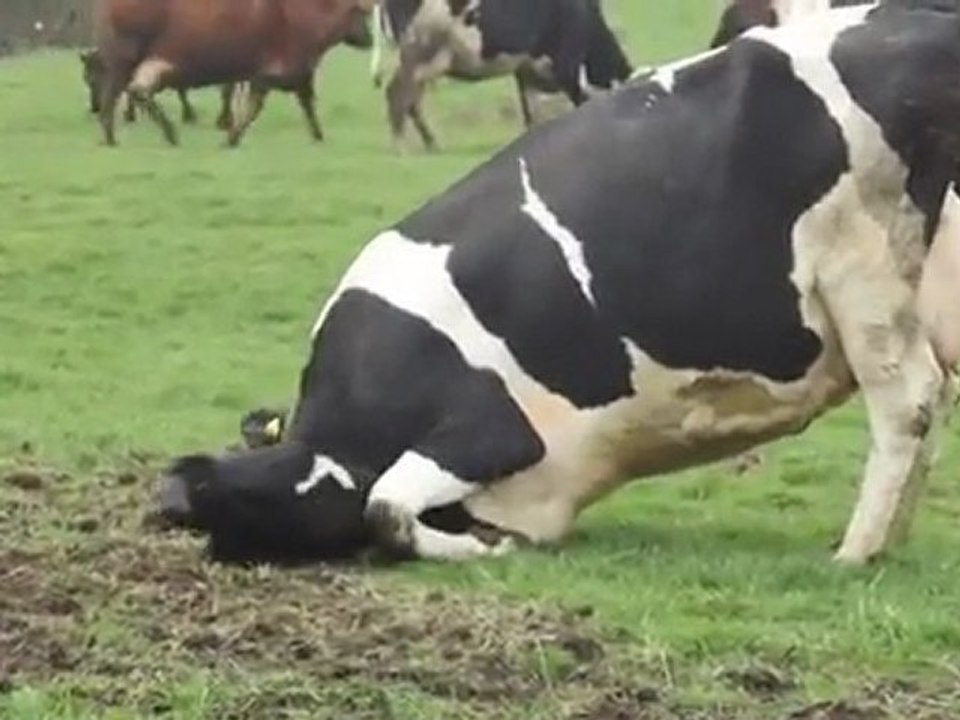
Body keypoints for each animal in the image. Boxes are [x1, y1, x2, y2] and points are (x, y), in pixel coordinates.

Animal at [91, 0, 374, 147]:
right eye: (361, 14)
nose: (370, 40)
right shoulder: (288, 71)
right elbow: (292, 105)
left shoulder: (270, 75)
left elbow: (267, 105)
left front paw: (232, 135)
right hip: (126, 59)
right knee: (116, 95)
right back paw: (118, 135)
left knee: (135, 93)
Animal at [369, 0, 632, 151]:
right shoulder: (566, 61)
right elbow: (577, 100)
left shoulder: (526, 67)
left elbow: (530, 109)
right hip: (420, 53)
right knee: (398, 95)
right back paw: (401, 146)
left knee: (410, 101)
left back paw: (430, 143)